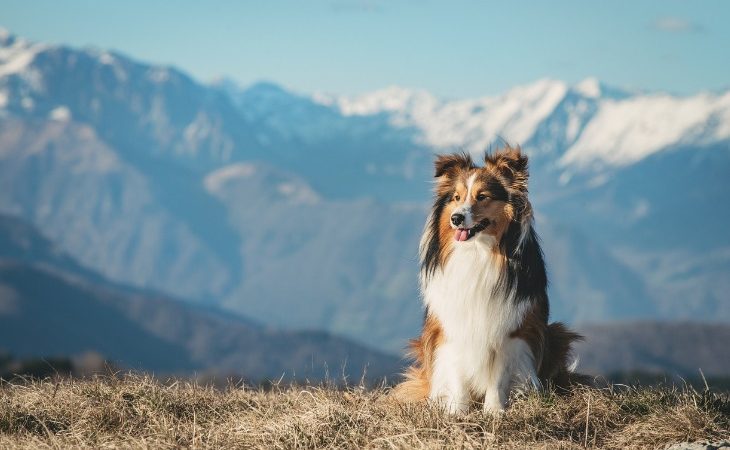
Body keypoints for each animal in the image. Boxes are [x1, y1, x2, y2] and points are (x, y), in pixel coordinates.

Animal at [392, 146, 580, 414]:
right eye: (457, 197)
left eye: (482, 196)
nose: (456, 218)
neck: (478, 252)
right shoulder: (452, 327)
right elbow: (458, 373)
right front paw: (457, 411)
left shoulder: (509, 329)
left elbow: (498, 375)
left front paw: (494, 411)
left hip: (557, 333)